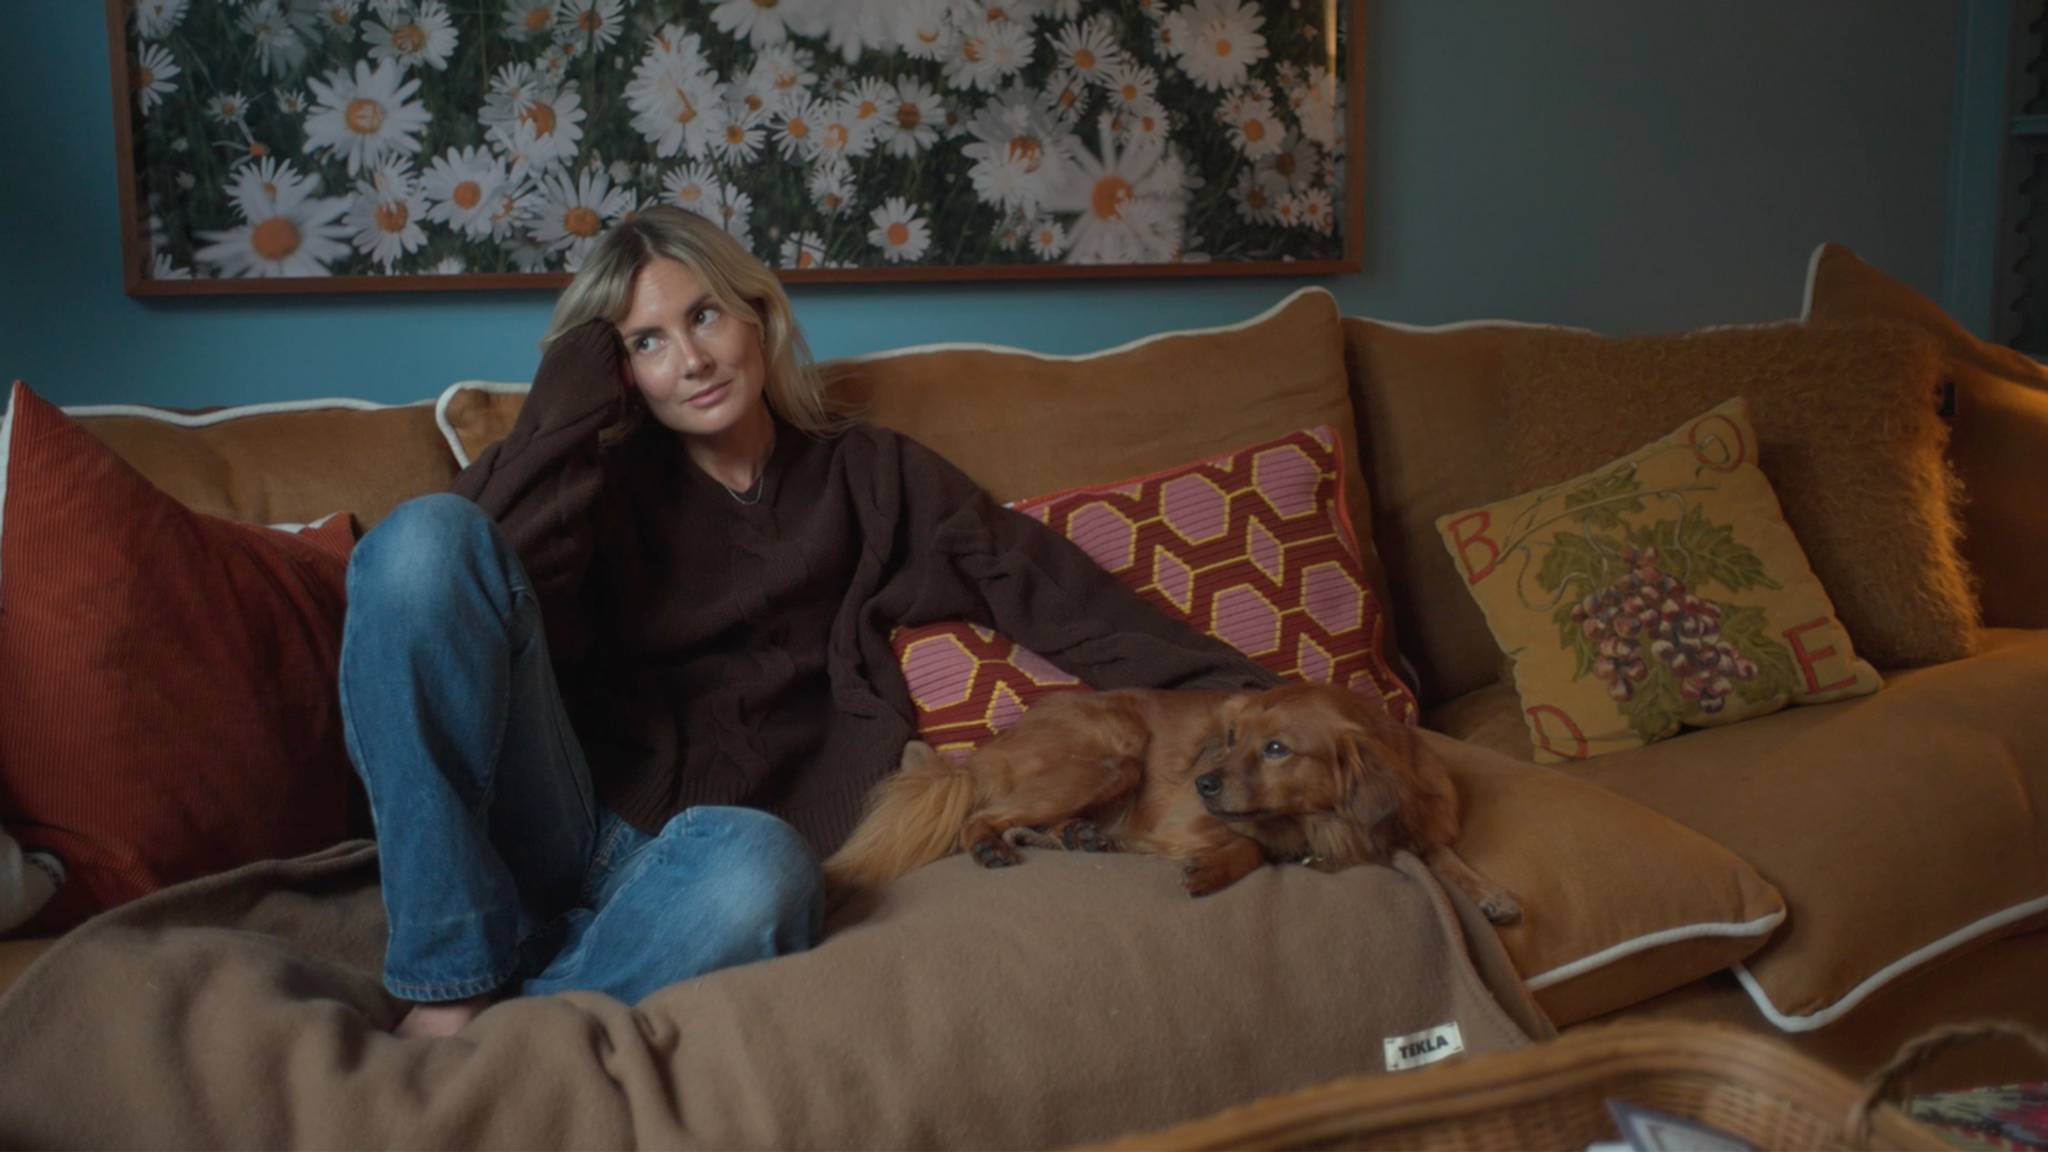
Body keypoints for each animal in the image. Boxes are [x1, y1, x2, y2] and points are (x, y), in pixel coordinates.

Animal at [824, 682, 1520, 921]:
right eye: (1233, 738)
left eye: (1276, 749)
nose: (1204, 782)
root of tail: (982, 753)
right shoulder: (1191, 820)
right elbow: (1248, 845)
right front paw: (1210, 870)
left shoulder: (1420, 825)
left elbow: (1444, 855)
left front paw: (1488, 891)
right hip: (1115, 754)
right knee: (984, 815)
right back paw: (997, 847)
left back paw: (1076, 837)